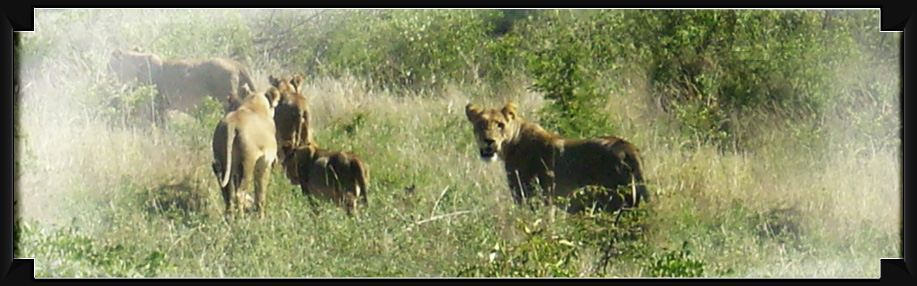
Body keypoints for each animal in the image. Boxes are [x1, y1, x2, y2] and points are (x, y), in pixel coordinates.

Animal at [108, 47, 258, 125]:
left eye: (109, 64)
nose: (106, 72)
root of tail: (236, 64)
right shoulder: (162, 107)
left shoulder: (155, 104)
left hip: (226, 101)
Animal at [211, 85, 282, 219]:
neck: (255, 104)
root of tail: (232, 123)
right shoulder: (265, 163)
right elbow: (260, 192)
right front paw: (261, 217)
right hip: (247, 164)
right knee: (240, 193)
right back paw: (241, 219)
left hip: (224, 162)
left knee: (227, 191)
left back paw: (229, 217)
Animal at [466, 100, 652, 214]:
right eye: (480, 124)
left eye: (500, 125)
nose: (488, 141)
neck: (511, 143)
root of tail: (628, 147)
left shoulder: (529, 197)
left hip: (614, 202)